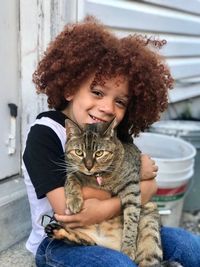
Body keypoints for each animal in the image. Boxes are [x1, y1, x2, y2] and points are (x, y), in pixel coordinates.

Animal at [45, 119, 183, 267]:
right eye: (79, 152)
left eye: (99, 153)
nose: (89, 166)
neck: (98, 178)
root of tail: (109, 245)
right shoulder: (72, 170)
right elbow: (71, 179)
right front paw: (74, 201)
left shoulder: (131, 187)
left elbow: (131, 219)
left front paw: (128, 248)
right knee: (86, 241)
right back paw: (57, 230)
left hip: (149, 229)